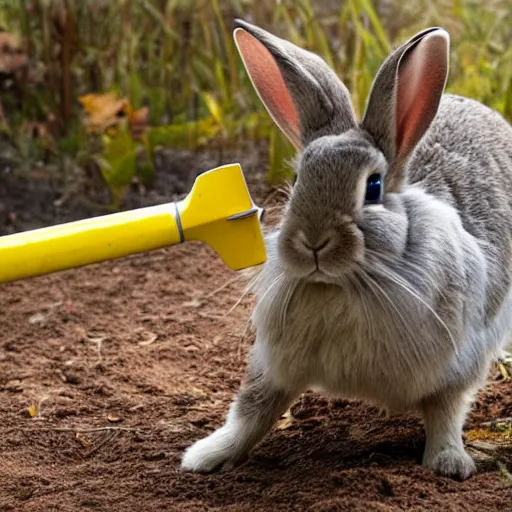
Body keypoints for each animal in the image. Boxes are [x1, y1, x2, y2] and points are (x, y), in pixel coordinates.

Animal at [179, 17, 512, 480]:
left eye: (373, 187)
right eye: (298, 180)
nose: (313, 241)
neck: (347, 285)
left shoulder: (458, 363)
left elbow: (446, 412)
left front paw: (448, 464)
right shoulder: (274, 363)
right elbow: (253, 410)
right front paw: (206, 456)